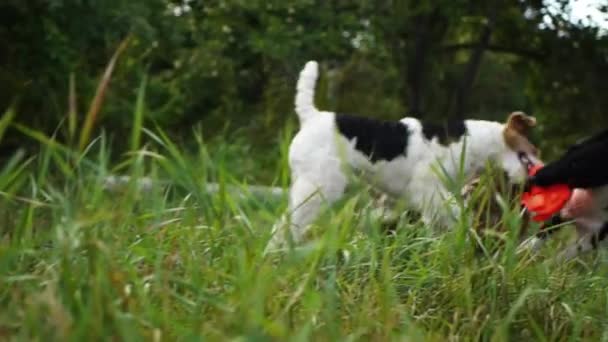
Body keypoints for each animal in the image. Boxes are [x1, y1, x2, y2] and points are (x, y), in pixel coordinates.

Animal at [268, 60, 540, 250]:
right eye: (530, 152)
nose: (530, 184)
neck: (473, 142)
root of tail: (311, 116)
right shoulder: (429, 189)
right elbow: (455, 211)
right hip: (318, 187)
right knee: (286, 224)